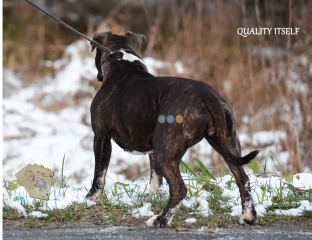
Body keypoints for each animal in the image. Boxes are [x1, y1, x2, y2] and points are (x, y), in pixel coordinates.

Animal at [86, 31, 260, 227]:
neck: (124, 63)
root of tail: (208, 96)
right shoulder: (152, 150)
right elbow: (155, 180)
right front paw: (152, 199)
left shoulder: (101, 136)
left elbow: (99, 173)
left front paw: (90, 198)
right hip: (227, 143)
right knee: (242, 178)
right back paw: (248, 216)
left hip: (167, 150)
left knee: (179, 188)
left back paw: (160, 220)